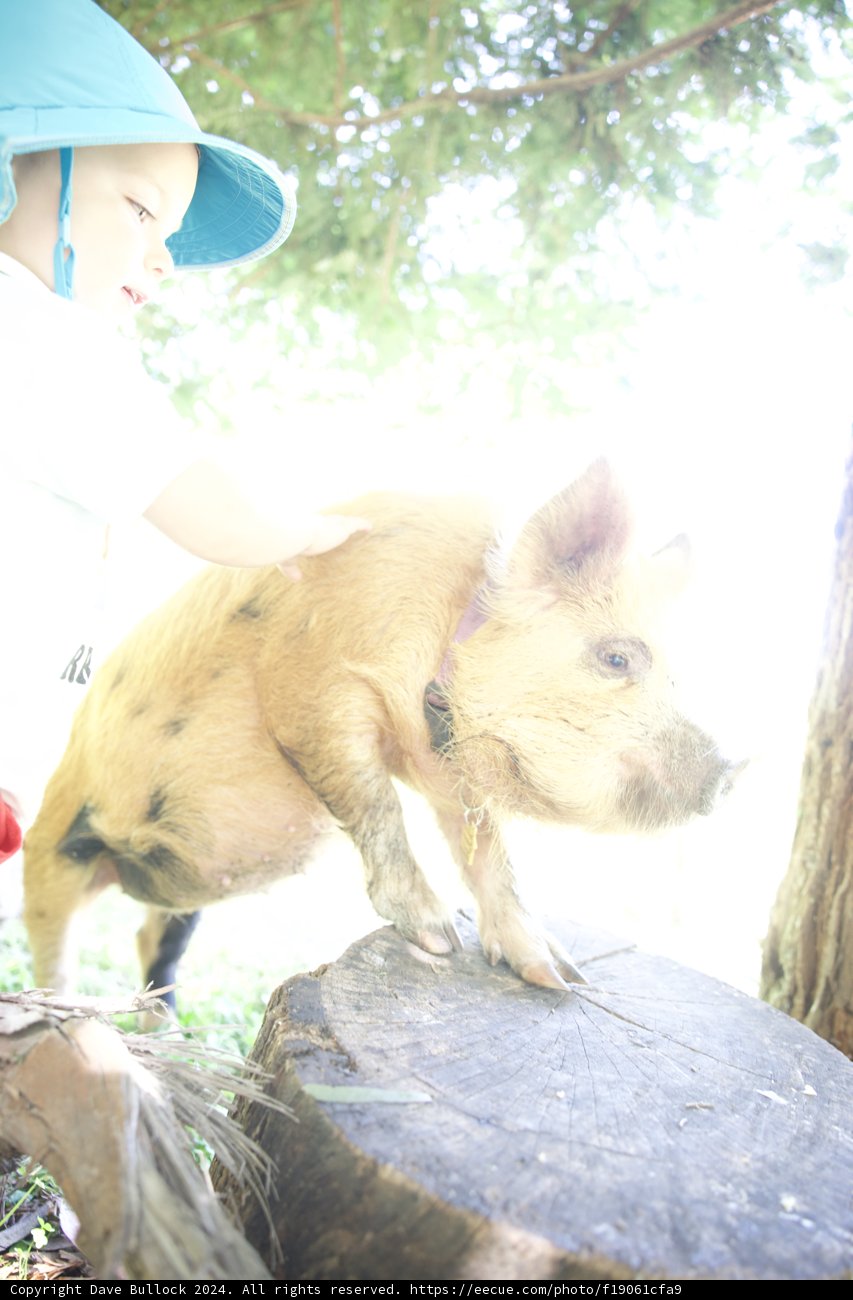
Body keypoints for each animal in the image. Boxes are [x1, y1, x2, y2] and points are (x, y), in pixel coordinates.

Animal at [23, 460, 737, 1003]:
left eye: (677, 676)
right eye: (617, 659)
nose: (730, 768)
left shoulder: (445, 762)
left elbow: (491, 855)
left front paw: (559, 979)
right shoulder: (315, 687)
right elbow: (376, 802)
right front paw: (440, 939)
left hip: (176, 897)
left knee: (154, 943)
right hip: (54, 841)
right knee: (51, 943)